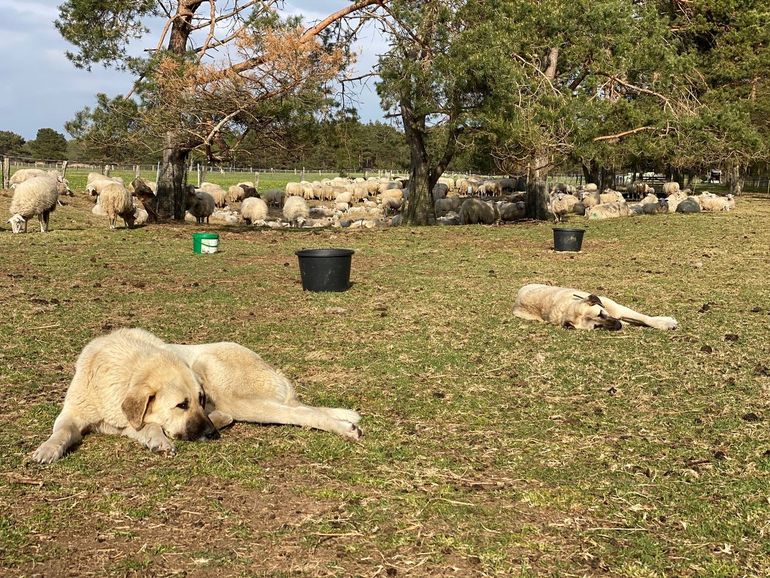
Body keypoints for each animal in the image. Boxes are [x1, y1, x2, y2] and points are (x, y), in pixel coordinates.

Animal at [31, 326, 362, 462]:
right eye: (182, 404)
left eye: (200, 400)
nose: (212, 435)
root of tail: (274, 370)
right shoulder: (76, 415)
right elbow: (62, 432)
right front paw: (47, 449)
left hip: (225, 384)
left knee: (297, 413)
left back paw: (346, 429)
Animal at [512, 282, 676, 328]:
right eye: (596, 326)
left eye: (601, 313)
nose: (617, 326)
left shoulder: (618, 309)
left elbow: (645, 318)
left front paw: (665, 323)